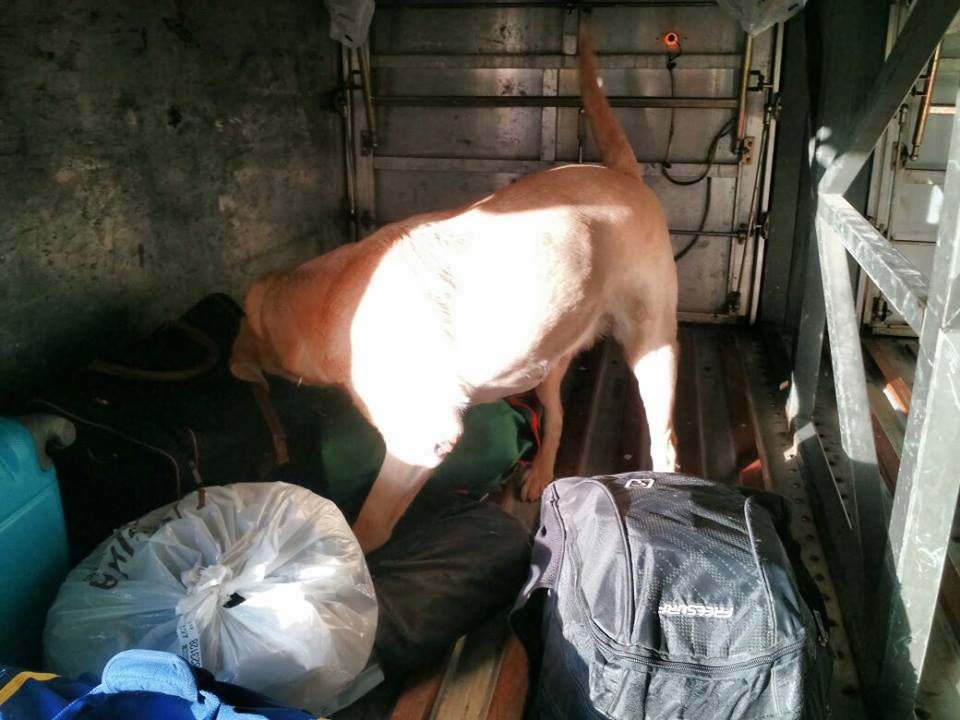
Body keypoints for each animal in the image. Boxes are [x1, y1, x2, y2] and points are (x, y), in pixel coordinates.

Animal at [230, 26, 678, 553]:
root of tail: (622, 174)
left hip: (652, 348)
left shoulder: (422, 438)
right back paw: (540, 472)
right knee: (556, 415)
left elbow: (370, 524)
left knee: (665, 439)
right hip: (547, 354)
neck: (331, 294)